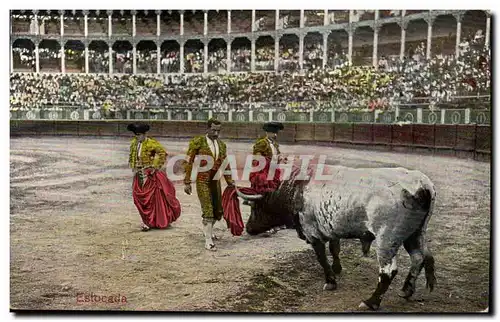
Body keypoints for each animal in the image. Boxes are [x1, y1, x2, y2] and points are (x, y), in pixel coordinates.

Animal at [236, 165, 436, 310]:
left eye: (256, 207)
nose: (249, 228)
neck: (296, 189)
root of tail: (421, 185)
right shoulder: (331, 230)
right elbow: (334, 249)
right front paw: (337, 268)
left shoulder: (313, 233)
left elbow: (322, 258)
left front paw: (331, 281)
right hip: (416, 234)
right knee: (419, 258)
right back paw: (406, 290)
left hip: (387, 240)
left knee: (388, 271)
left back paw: (371, 302)